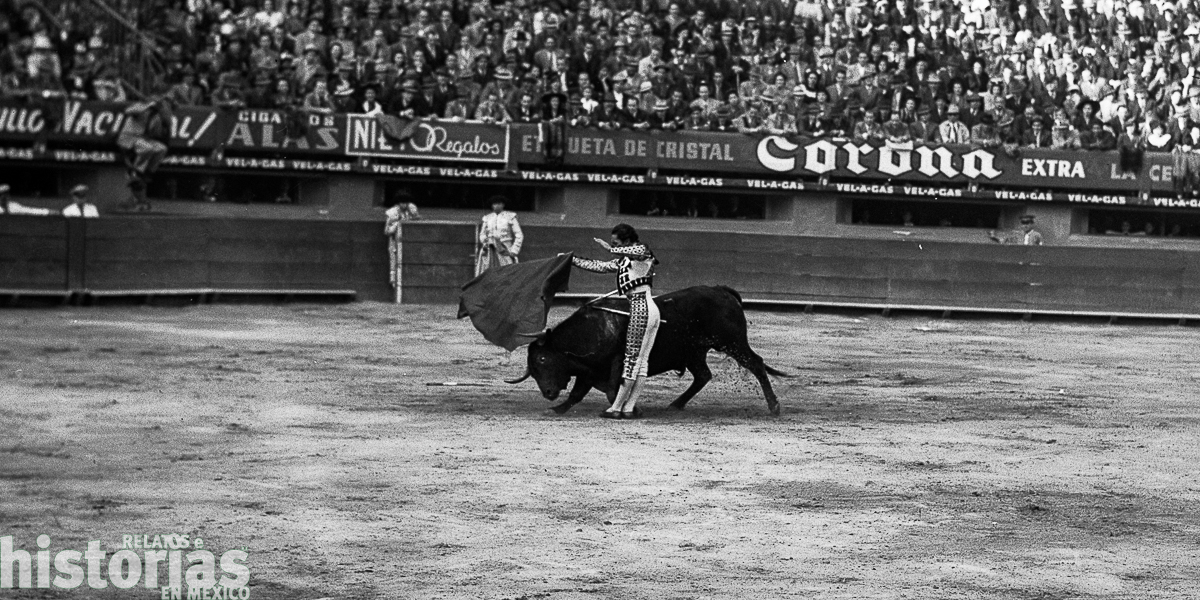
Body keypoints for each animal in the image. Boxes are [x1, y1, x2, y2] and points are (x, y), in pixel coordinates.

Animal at [504, 284, 787, 415]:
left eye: (542, 358)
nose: (548, 393)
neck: (590, 331)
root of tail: (721, 290)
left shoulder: (615, 363)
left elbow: (612, 389)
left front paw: (628, 409)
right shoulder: (588, 370)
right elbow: (577, 393)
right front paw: (558, 409)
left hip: (733, 343)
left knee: (756, 364)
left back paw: (774, 406)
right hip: (694, 353)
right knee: (703, 375)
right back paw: (676, 404)